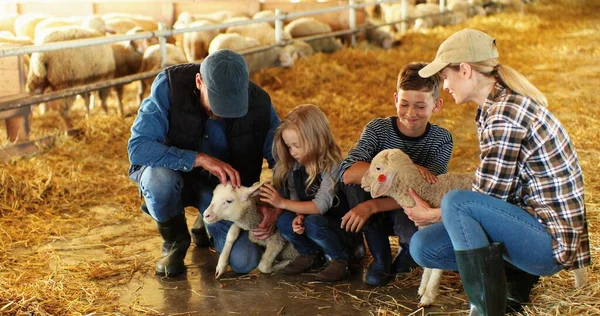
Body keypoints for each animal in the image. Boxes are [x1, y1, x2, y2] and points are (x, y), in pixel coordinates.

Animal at [360, 149, 474, 308]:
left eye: (378, 168)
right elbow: (428, 264)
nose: (362, 182)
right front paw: (422, 288)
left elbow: (436, 267)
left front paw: (428, 296)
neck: (429, 191)